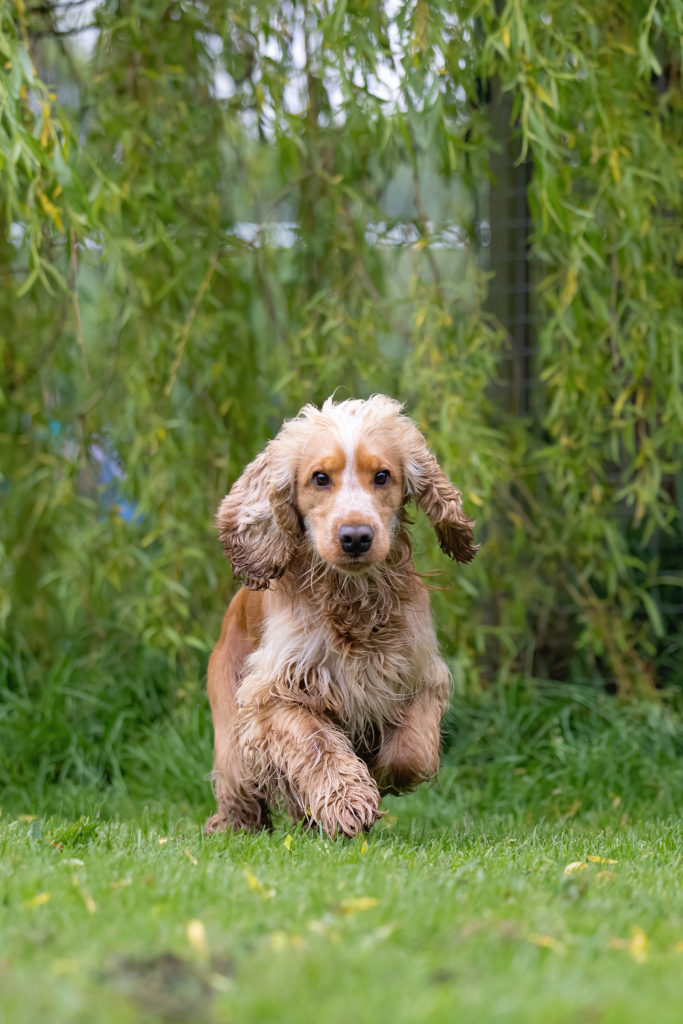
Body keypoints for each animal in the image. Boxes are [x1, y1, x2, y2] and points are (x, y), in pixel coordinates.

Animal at [205, 395, 479, 835]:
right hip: (231, 730)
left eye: (382, 476)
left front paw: (378, 772)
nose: (355, 537)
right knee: (239, 785)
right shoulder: (276, 693)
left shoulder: (417, 674)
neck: (353, 598)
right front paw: (348, 803)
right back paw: (237, 825)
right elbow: (315, 743)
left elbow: (414, 751)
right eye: (320, 478)